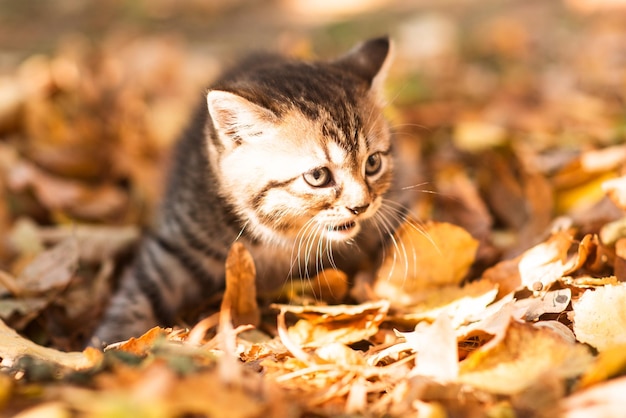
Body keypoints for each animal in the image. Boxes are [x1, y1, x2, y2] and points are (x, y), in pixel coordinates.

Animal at [90, 37, 408, 344]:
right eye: (318, 176)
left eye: (373, 163)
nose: (362, 206)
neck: (279, 241)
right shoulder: (178, 244)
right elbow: (139, 295)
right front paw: (105, 348)